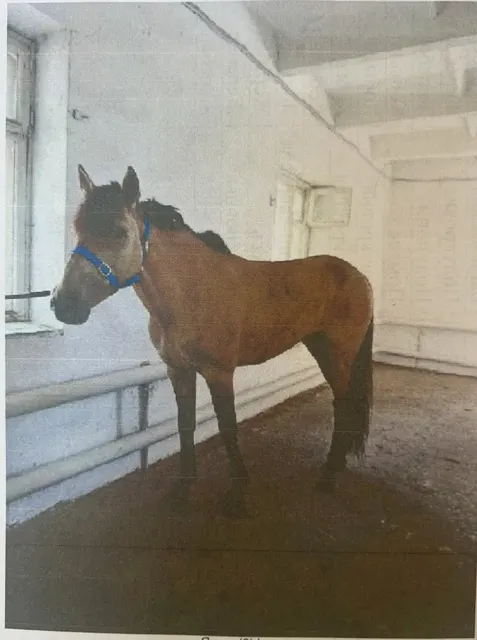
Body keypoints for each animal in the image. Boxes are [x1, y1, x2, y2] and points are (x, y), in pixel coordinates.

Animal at [51, 165, 374, 517]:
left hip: (340, 355)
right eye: (78, 229)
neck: (191, 292)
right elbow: (186, 424)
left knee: (344, 405)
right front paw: (182, 488)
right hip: (321, 349)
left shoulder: (219, 373)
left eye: (120, 231)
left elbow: (227, 427)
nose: (62, 304)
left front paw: (237, 495)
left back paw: (328, 477)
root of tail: (360, 277)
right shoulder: (179, 371)